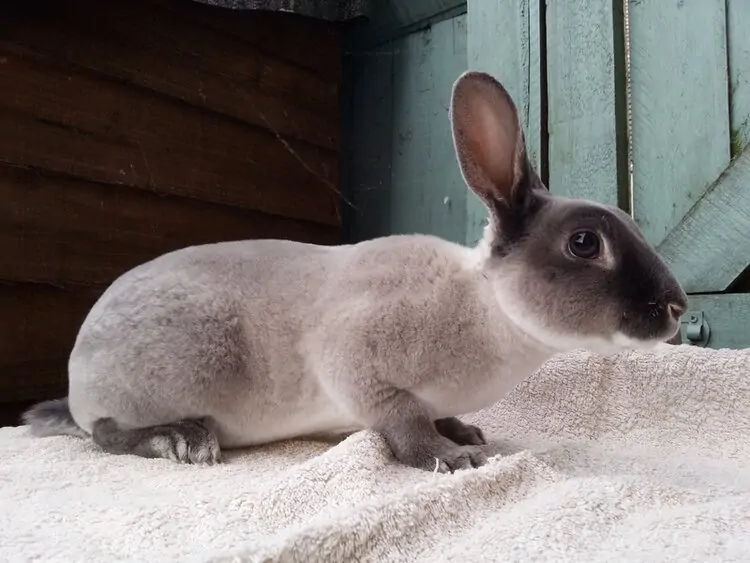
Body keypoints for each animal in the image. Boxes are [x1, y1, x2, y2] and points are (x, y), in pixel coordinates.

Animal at [22, 71, 688, 473]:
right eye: (584, 243)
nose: (677, 306)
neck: (488, 308)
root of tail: (77, 374)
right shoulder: (358, 362)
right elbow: (401, 420)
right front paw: (452, 458)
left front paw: (466, 433)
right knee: (103, 432)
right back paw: (181, 438)